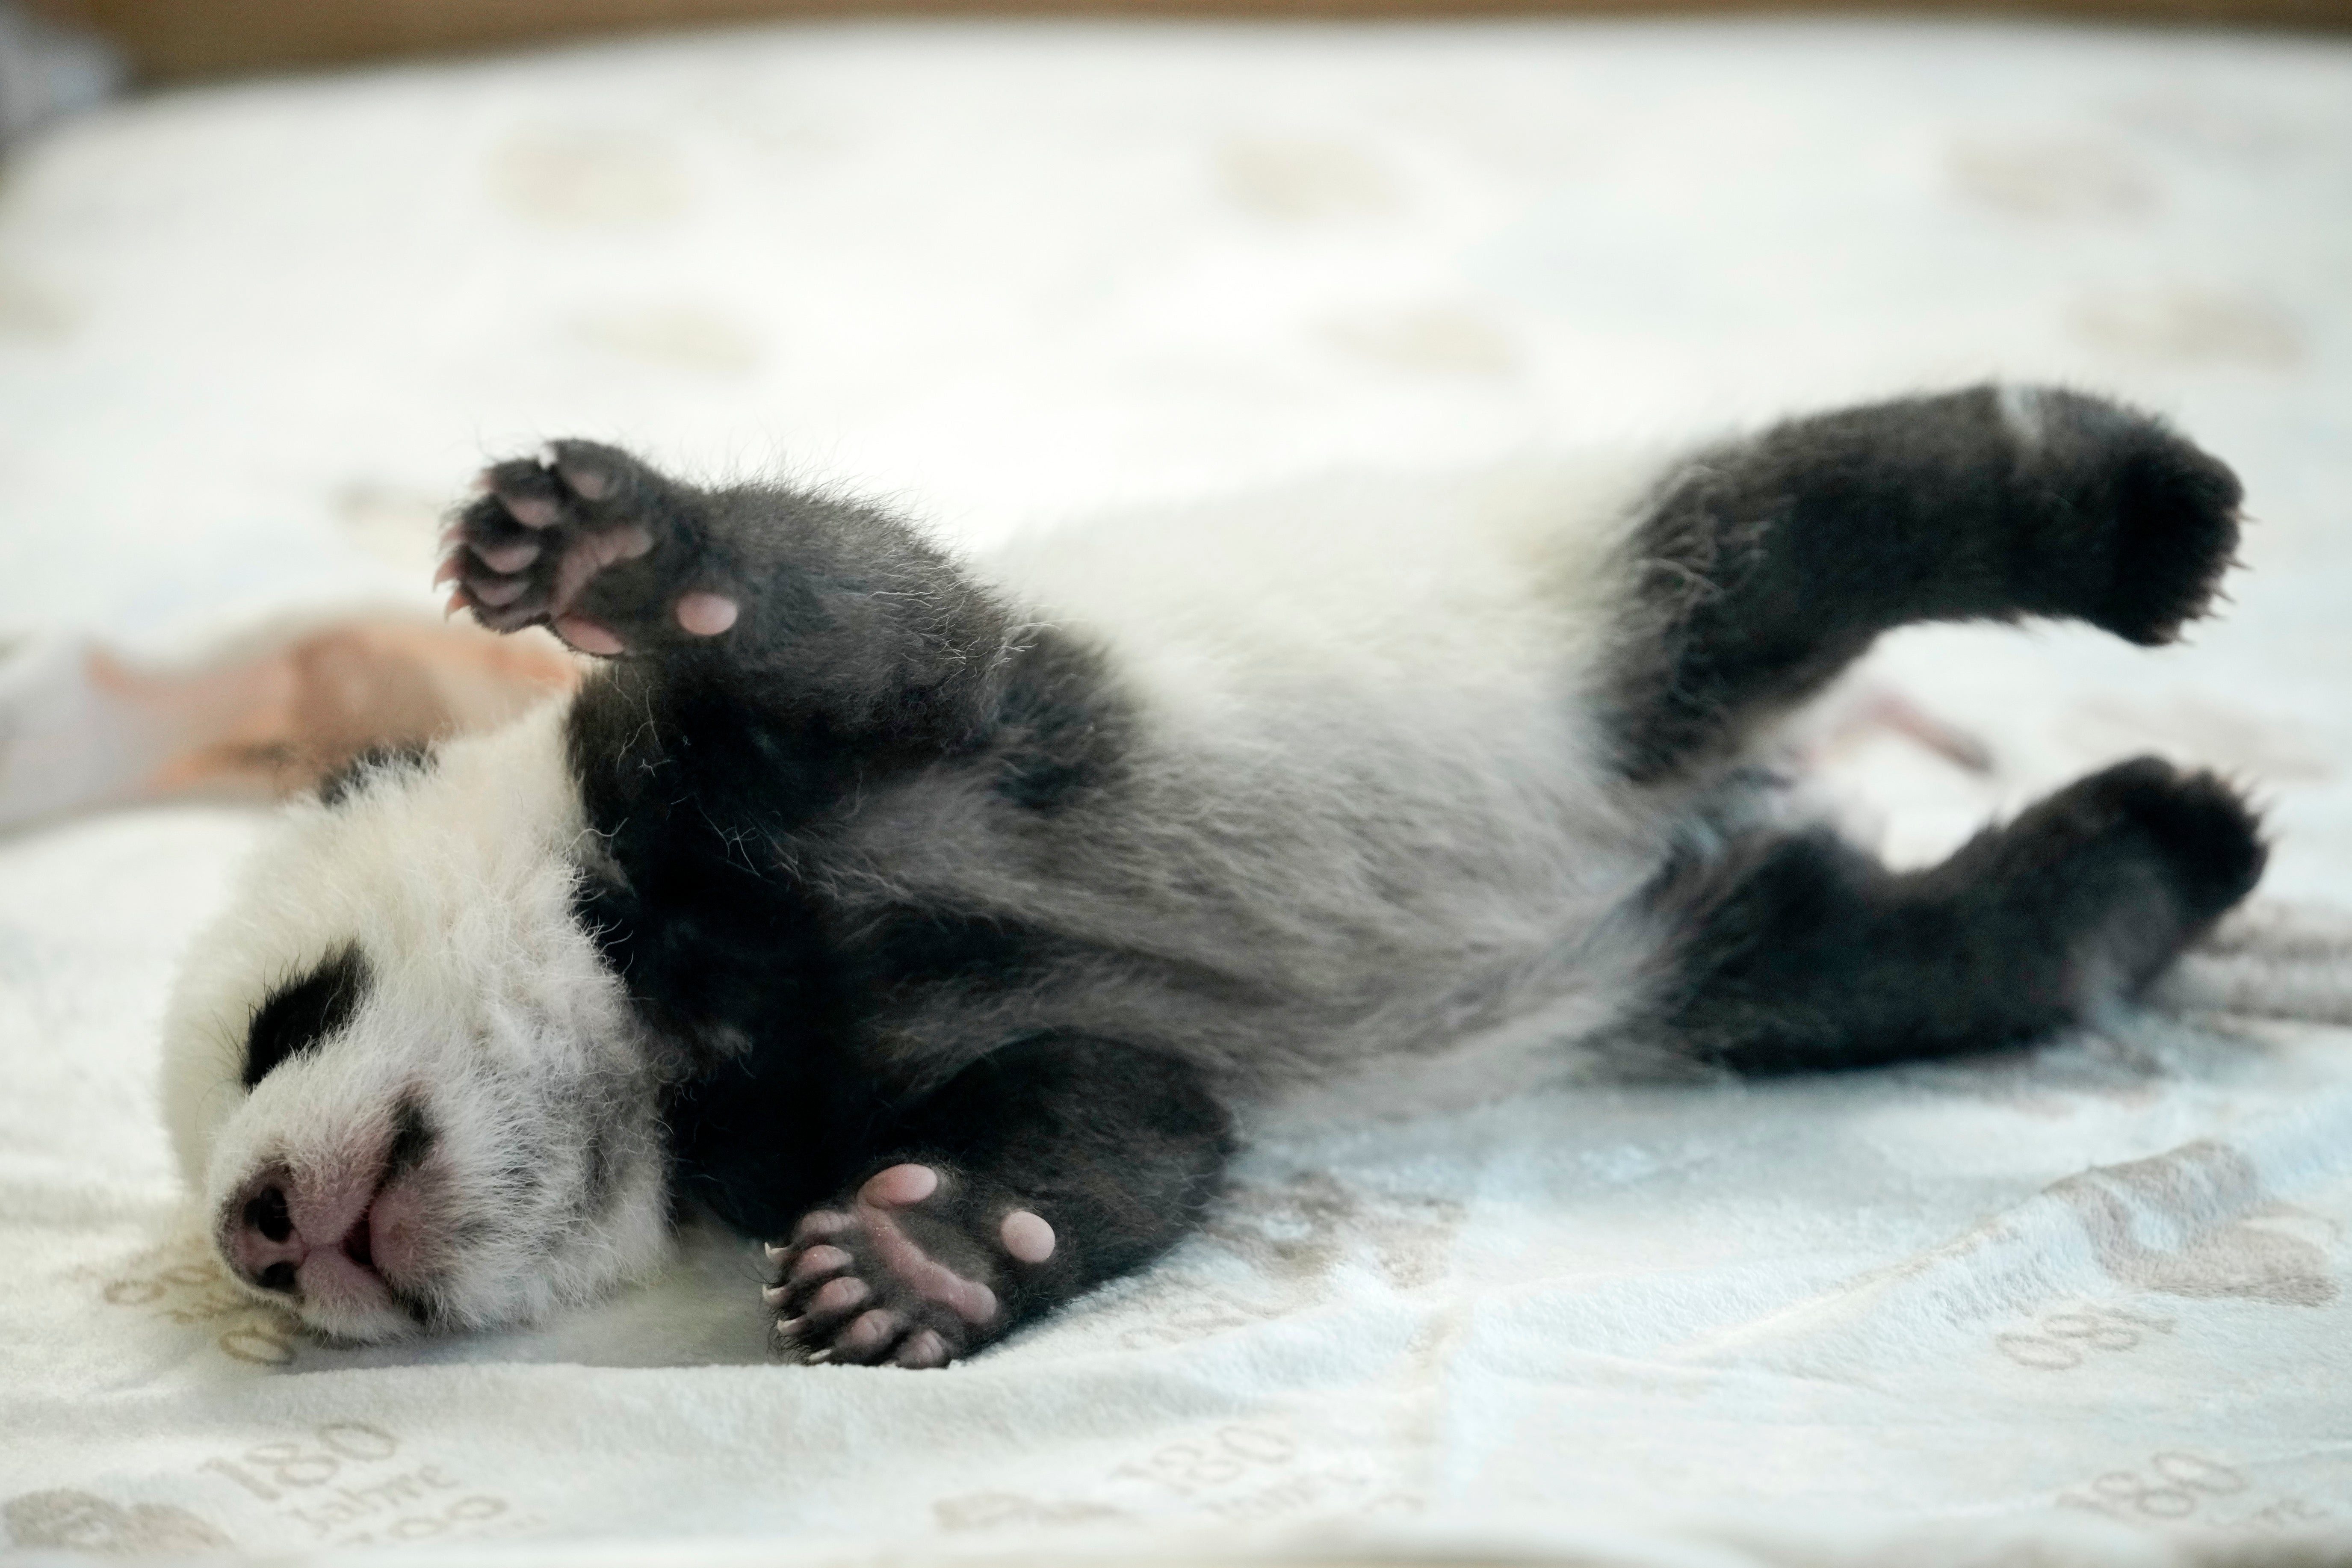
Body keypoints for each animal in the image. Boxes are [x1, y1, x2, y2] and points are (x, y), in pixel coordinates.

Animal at [160, 384, 2265, 1368]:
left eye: (289, 1018)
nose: (258, 1231)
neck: (671, 1011)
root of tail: (1754, 784)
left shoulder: (802, 767)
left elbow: (870, 624)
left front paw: (605, 544)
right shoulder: (826, 1091)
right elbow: (1118, 1119)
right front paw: (914, 1261)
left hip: (1574, 623)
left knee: (1803, 532)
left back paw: (2136, 516)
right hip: (1705, 961)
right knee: (1887, 956)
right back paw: (2152, 856)